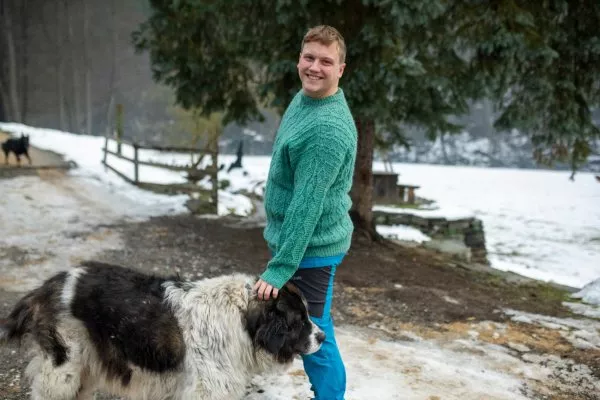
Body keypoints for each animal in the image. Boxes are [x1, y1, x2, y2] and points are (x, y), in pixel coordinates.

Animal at [0, 261, 325, 400]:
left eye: (307, 315)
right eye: (299, 320)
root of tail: (47, 287)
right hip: (63, 369)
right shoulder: (204, 390)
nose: (322, 336)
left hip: (87, 367)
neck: (243, 321)